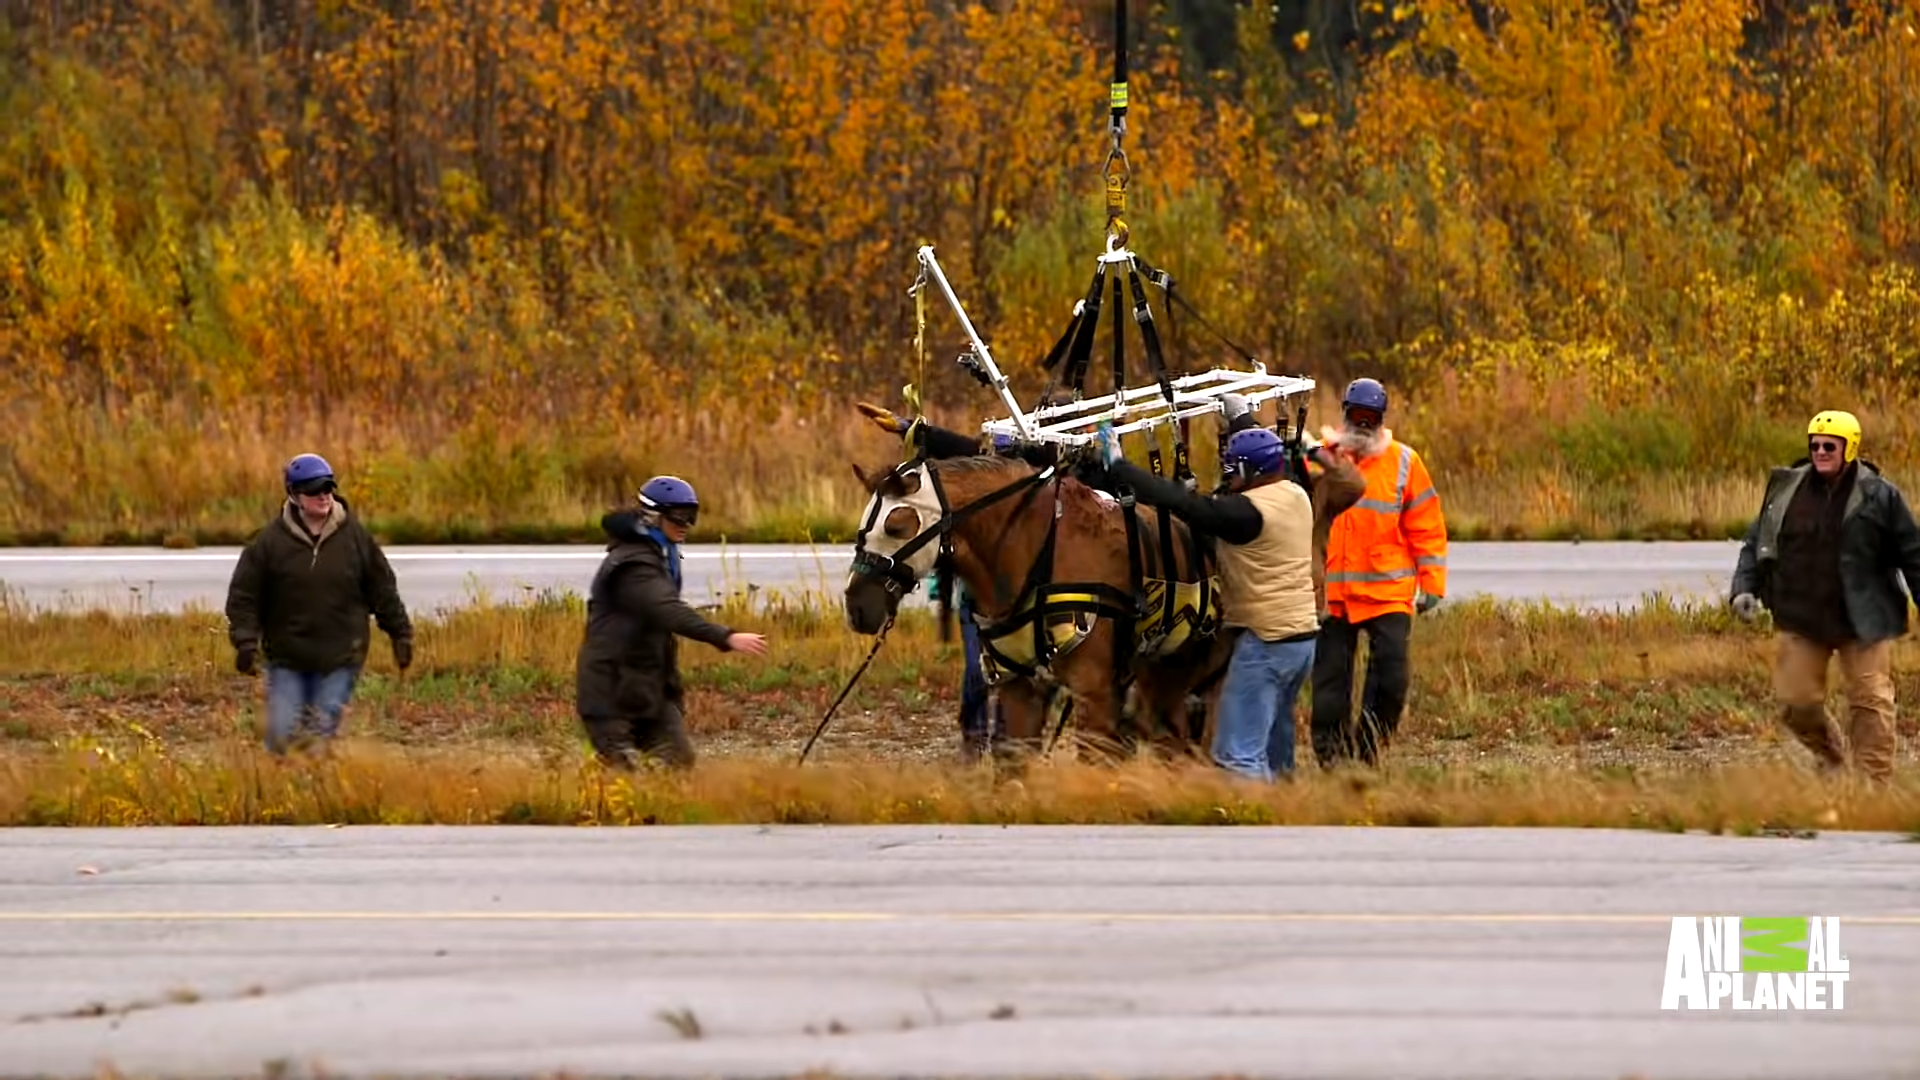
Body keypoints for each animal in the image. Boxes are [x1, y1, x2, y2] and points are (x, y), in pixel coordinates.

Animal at [844, 443, 1236, 757]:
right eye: (861, 530)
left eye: (896, 526)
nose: (856, 606)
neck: (1037, 551)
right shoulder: (1021, 689)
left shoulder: (1094, 693)